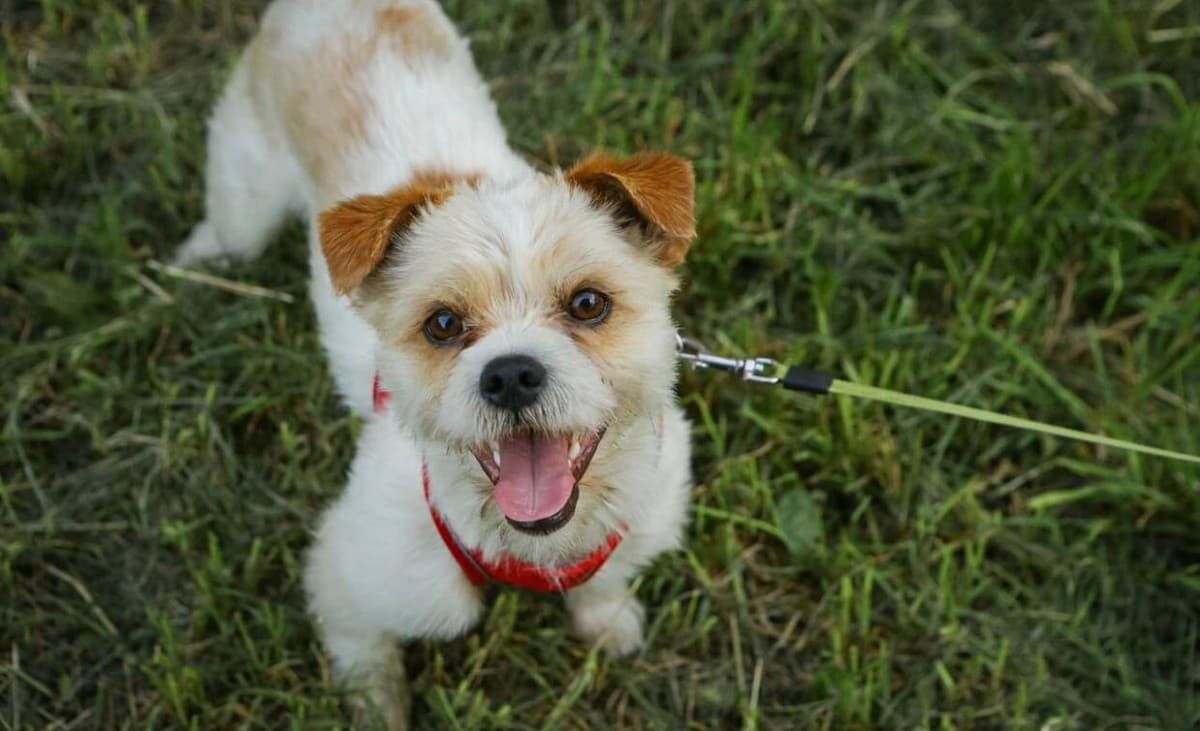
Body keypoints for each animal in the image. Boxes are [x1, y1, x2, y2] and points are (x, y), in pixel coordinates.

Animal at [175, 0, 695, 725]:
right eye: (443, 324)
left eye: (589, 303)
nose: (510, 375)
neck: (528, 545)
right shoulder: (347, 578)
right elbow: (370, 669)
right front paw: (381, 707)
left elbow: (605, 583)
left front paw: (605, 620)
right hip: (245, 203)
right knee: (224, 234)